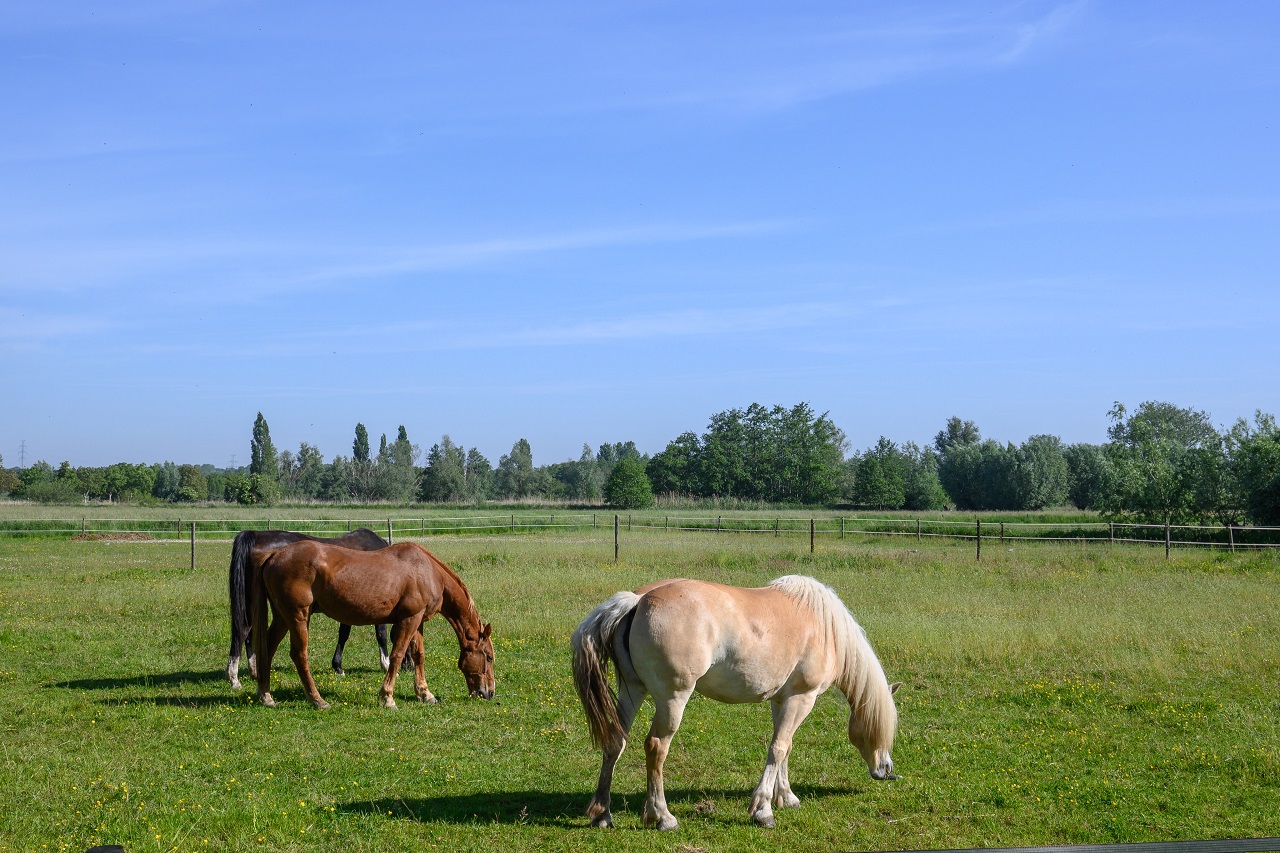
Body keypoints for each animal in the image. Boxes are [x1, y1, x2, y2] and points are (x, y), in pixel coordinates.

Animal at [225, 528, 406, 690]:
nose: (408, 667)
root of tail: (255, 535)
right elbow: (381, 635)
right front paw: (386, 665)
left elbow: (343, 635)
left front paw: (338, 666)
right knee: (242, 632)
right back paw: (235, 679)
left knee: (248, 634)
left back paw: (254, 671)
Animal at [252, 540, 495, 709]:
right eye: (490, 657)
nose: (490, 693)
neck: (428, 572)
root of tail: (275, 554)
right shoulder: (409, 619)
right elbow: (397, 655)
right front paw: (387, 698)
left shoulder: (417, 621)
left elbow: (418, 656)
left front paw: (425, 694)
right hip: (298, 616)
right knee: (299, 655)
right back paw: (317, 700)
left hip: (282, 617)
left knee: (268, 649)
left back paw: (266, 695)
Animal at [572, 574, 900, 831]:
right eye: (884, 729)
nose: (887, 770)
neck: (826, 628)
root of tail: (638, 600)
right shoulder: (801, 698)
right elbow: (778, 748)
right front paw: (763, 811)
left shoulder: (781, 700)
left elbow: (784, 747)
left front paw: (786, 797)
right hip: (673, 699)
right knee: (655, 747)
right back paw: (662, 816)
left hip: (632, 691)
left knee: (615, 742)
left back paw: (602, 814)